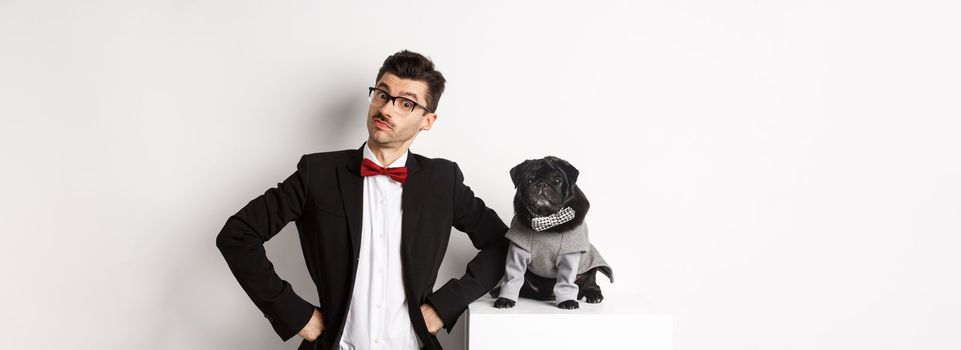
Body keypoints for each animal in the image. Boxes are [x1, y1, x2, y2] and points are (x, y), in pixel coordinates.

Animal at [492, 156, 612, 308]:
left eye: (557, 181)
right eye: (529, 180)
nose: (542, 184)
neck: (546, 220)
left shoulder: (568, 254)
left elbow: (566, 281)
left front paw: (567, 301)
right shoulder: (518, 251)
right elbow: (513, 277)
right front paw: (505, 299)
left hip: (588, 271)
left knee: (590, 283)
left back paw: (594, 295)